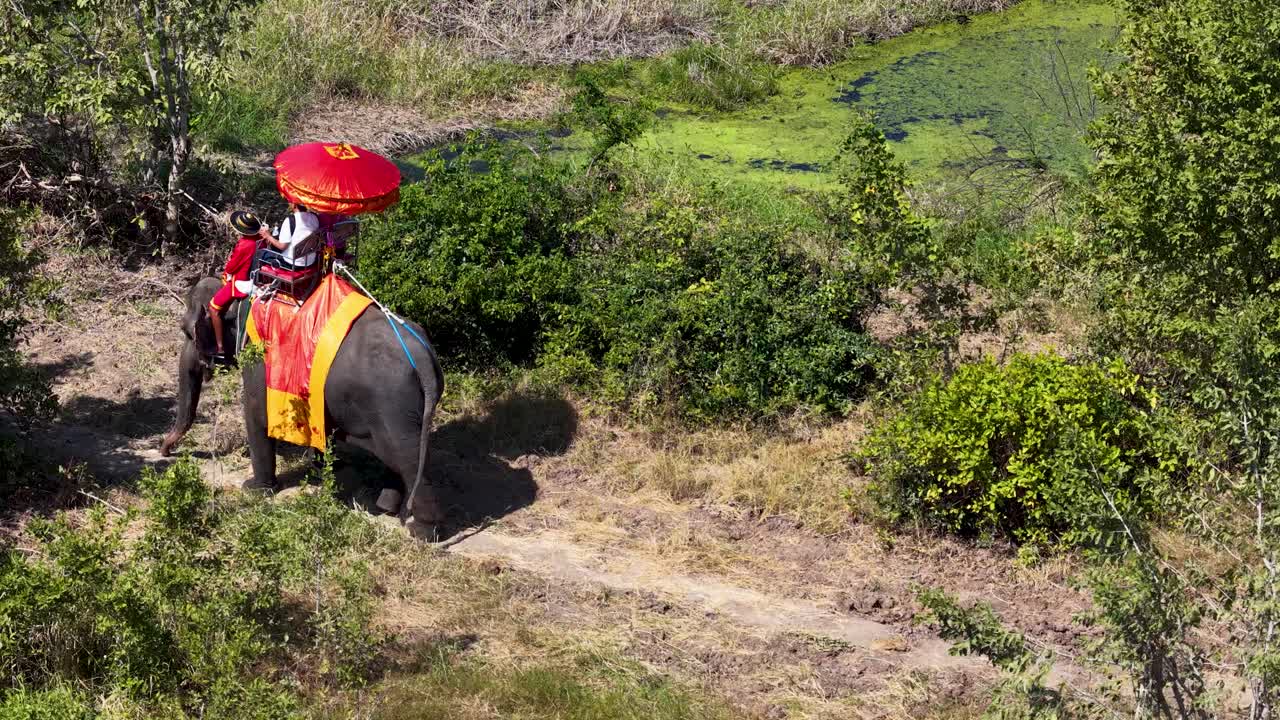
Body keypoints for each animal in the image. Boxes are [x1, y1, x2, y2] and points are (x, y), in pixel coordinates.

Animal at [160, 277, 446, 538]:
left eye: (187, 332)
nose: (165, 452)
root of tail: (423, 356)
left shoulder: (262, 362)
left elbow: (257, 414)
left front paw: (254, 490)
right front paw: (320, 472)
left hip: (392, 406)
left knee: (406, 456)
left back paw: (421, 531)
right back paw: (387, 507)